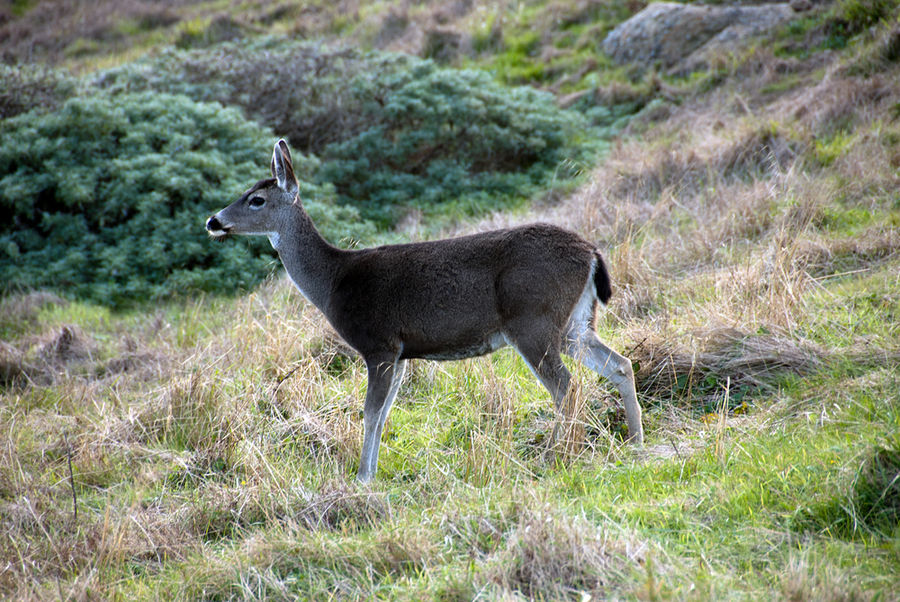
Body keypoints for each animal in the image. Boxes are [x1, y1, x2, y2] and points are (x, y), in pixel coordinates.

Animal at [206, 138, 640, 480]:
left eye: (256, 199)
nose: (213, 220)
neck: (332, 281)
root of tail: (592, 252)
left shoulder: (379, 344)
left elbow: (370, 412)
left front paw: (362, 477)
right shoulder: (401, 354)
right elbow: (383, 415)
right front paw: (371, 472)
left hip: (533, 320)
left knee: (565, 386)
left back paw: (554, 456)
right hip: (575, 323)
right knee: (619, 364)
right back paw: (635, 441)